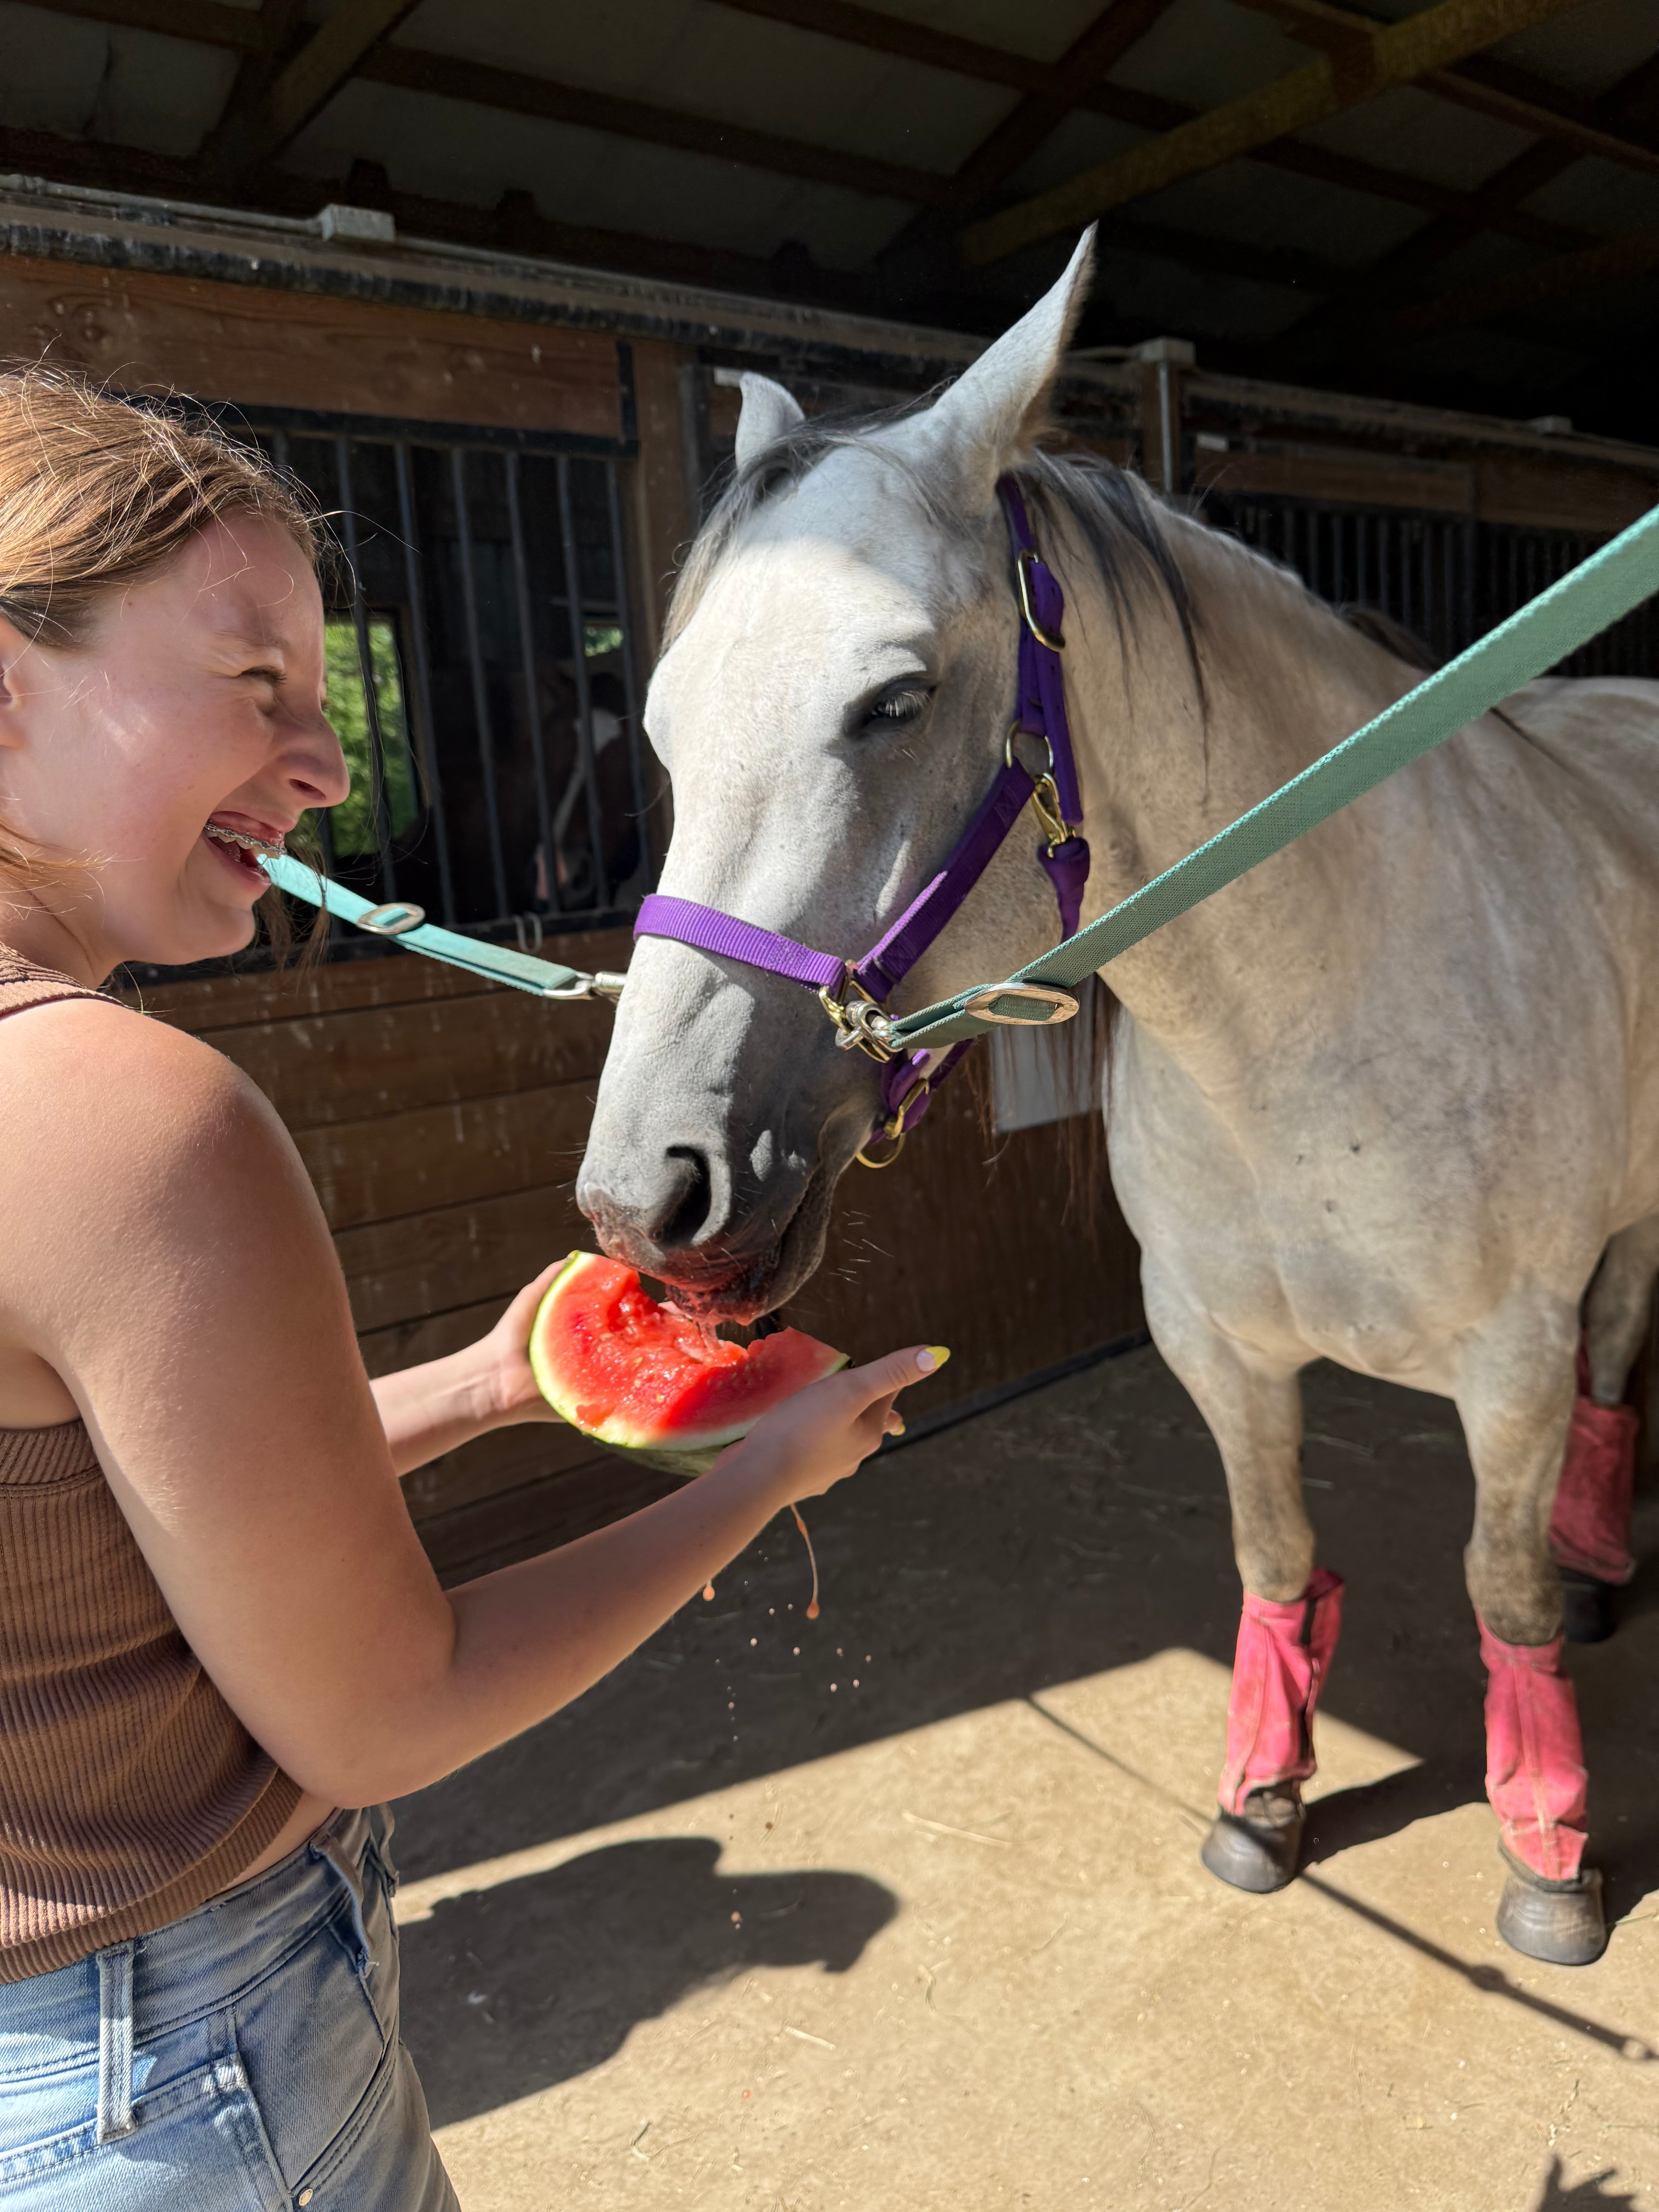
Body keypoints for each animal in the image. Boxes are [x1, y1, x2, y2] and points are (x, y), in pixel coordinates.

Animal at [576, 234, 1659, 1967]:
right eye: (664, 728)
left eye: (893, 703)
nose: (649, 1197)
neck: (1307, 1034)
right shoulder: (1215, 1345)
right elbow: (1275, 1561)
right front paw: (1264, 1802)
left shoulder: (1506, 1364)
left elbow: (1500, 1596)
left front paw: (1548, 1860)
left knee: (1614, 1350)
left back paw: (1596, 1559)